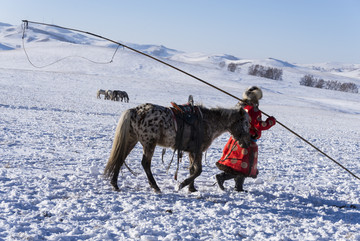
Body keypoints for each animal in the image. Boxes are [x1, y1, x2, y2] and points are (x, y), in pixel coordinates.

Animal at [104, 102, 250, 193]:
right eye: (246, 123)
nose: (248, 142)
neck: (208, 122)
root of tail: (134, 111)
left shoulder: (191, 152)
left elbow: (193, 170)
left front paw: (192, 189)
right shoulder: (197, 151)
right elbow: (198, 170)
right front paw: (182, 185)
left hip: (132, 140)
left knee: (120, 158)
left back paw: (115, 184)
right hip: (149, 143)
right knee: (145, 163)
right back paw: (155, 187)